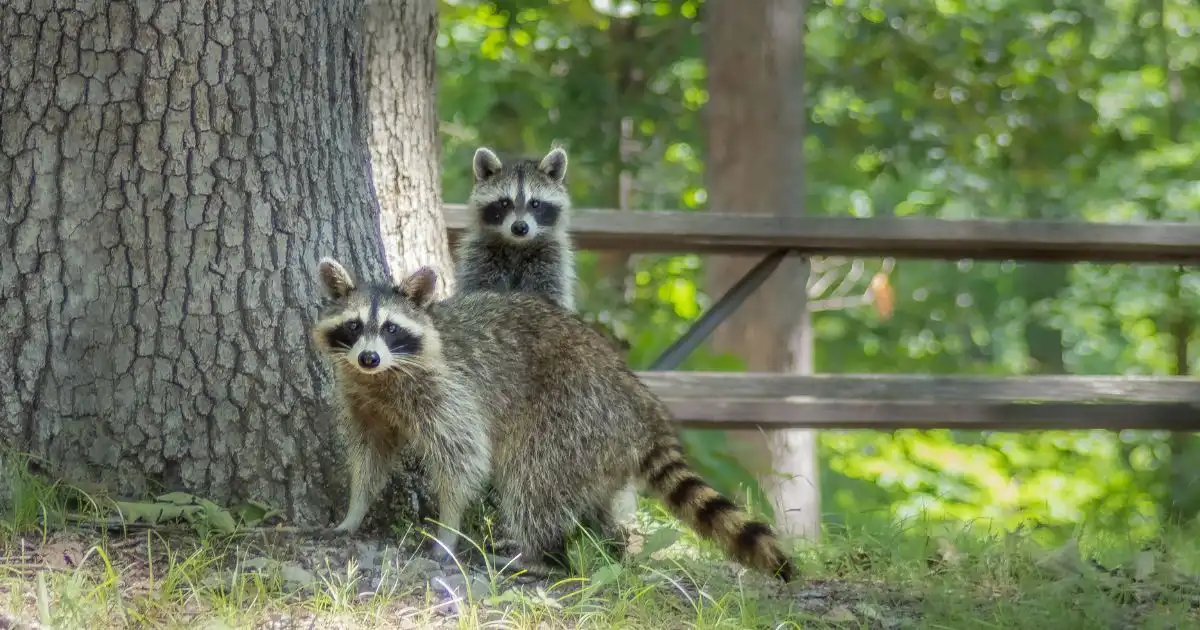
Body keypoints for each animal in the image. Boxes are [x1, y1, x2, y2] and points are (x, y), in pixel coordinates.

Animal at [311, 257, 795, 583]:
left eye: (391, 329)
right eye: (353, 327)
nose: (369, 357)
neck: (382, 377)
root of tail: (641, 405)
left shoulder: (448, 391)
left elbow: (464, 459)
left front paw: (448, 528)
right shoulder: (362, 399)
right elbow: (370, 455)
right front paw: (355, 508)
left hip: (571, 416)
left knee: (532, 483)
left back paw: (541, 557)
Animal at [454, 146, 577, 311]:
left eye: (535, 204)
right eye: (504, 203)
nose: (520, 227)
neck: (517, 245)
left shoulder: (551, 259)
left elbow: (551, 291)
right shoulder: (480, 256)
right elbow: (476, 287)